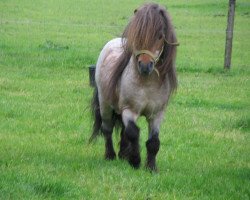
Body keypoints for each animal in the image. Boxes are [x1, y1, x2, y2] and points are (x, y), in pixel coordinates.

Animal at [89, 2, 179, 172]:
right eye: (137, 34)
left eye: (160, 36)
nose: (145, 66)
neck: (147, 84)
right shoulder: (129, 110)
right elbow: (133, 133)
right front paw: (135, 161)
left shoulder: (157, 114)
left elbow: (153, 142)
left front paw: (151, 168)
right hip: (105, 105)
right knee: (107, 129)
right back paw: (110, 155)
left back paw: (123, 155)